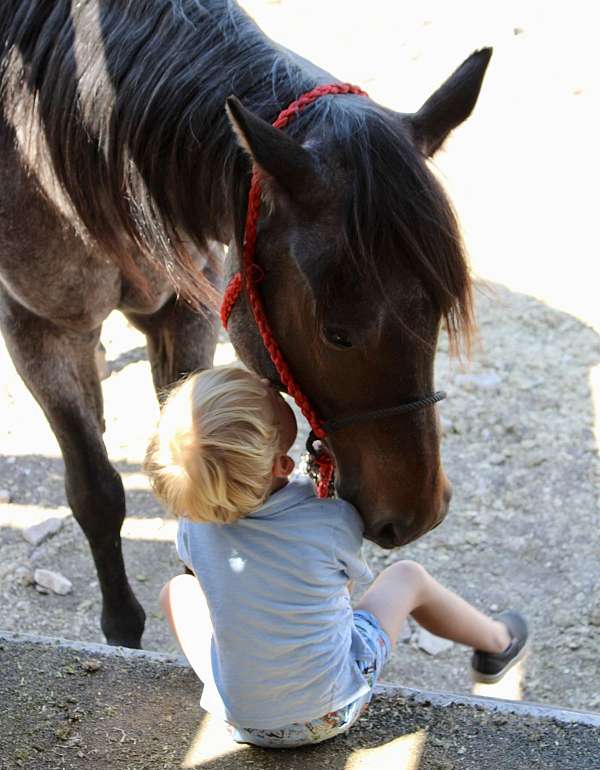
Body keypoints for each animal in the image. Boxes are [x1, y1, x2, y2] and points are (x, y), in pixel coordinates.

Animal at [0, 0, 490, 648]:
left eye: (437, 312)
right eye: (337, 333)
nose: (417, 515)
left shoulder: (186, 308)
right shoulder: (40, 330)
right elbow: (97, 494)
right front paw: (123, 628)